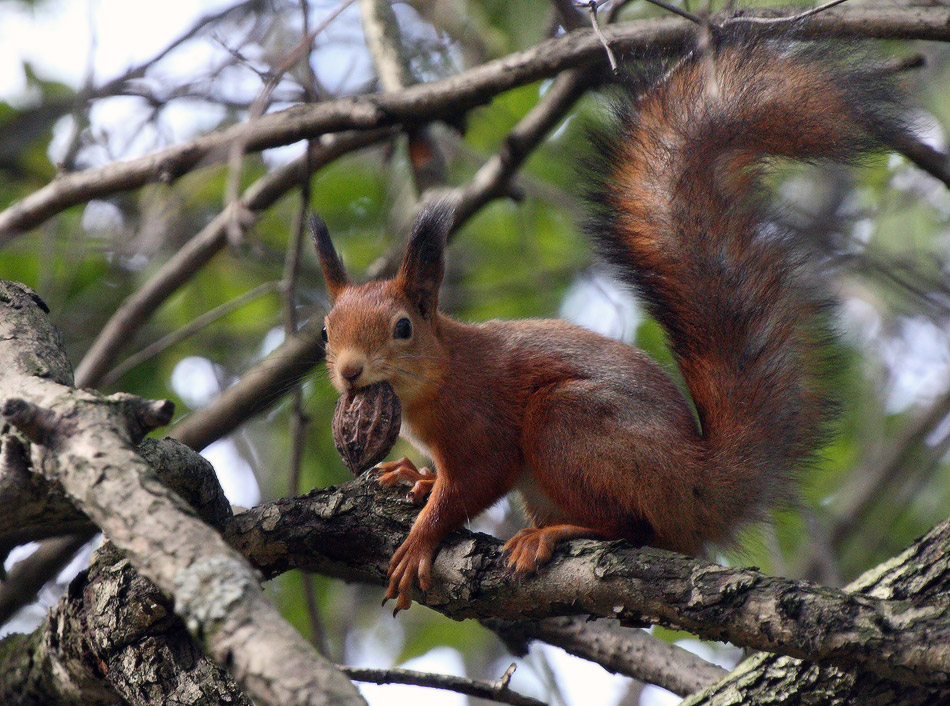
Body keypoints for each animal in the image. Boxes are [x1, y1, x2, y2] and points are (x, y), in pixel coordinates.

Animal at [310, 33, 908, 608]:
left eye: (403, 328)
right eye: (324, 331)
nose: (350, 371)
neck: (436, 379)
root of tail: (697, 487)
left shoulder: (482, 421)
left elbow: (475, 481)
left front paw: (421, 538)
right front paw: (415, 474)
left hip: (570, 425)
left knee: (630, 527)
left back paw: (552, 535)